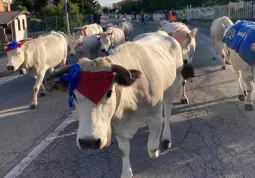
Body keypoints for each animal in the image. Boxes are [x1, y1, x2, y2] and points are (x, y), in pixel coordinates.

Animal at [47, 30, 183, 178]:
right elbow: (124, 151)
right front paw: (127, 172)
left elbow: (152, 149)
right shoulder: (118, 126)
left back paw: (166, 139)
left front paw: (157, 149)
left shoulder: (155, 116)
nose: (88, 141)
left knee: (168, 113)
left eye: (109, 93)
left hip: (172, 88)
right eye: (73, 95)